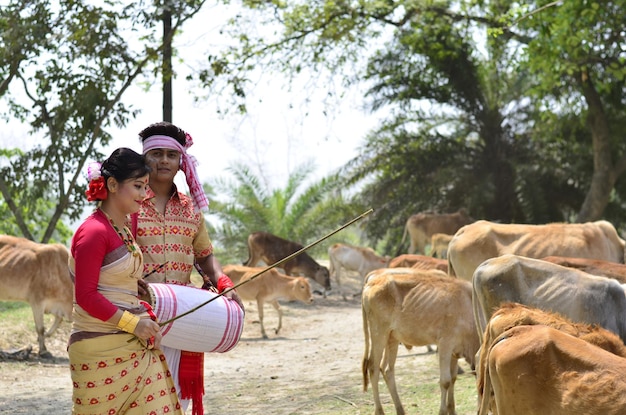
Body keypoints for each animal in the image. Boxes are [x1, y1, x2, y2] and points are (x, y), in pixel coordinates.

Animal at [360, 268, 478, 414]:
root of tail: (371, 283)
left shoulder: (454, 351)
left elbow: (453, 377)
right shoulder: (445, 344)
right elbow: (445, 381)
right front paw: (442, 411)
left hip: (391, 338)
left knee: (387, 369)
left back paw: (400, 410)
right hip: (378, 333)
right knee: (373, 368)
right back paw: (380, 411)